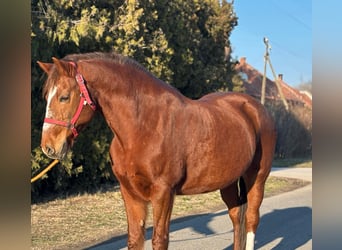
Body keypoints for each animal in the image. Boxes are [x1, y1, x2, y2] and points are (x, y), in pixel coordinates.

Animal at [38, 51, 278, 249]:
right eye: (46, 96)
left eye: (64, 97)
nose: (48, 147)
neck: (144, 126)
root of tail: (255, 107)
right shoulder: (130, 192)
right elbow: (135, 239)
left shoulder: (163, 193)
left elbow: (159, 240)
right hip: (227, 180)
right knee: (237, 216)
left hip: (257, 178)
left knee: (252, 220)